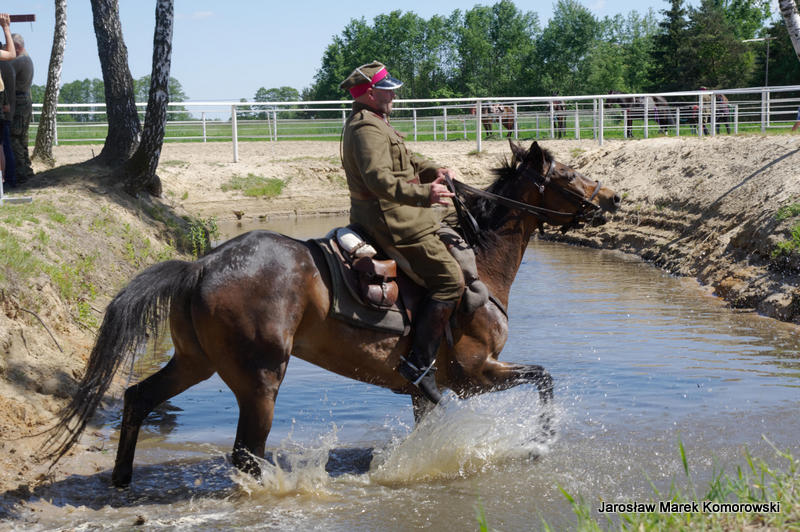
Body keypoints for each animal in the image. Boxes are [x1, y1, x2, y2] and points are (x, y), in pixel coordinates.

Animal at [44, 140, 621, 487]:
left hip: (195, 363)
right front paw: (541, 441)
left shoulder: (427, 388)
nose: (613, 198)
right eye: (571, 173)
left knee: (139, 399)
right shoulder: (474, 375)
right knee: (245, 452)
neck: (480, 260)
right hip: (259, 379)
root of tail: (201, 264)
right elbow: (545, 378)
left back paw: (122, 480)